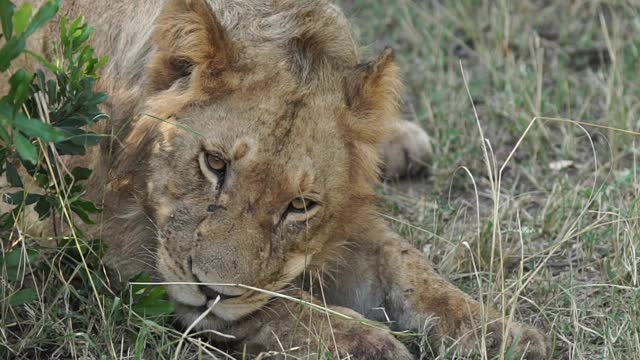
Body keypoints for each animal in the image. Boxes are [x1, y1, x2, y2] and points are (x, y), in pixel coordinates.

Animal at [2, 0, 548, 358]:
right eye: (214, 163)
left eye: (300, 205)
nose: (213, 291)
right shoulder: (105, 240)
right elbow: (281, 307)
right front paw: (371, 344)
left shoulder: (343, 223)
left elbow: (410, 268)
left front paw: (500, 334)